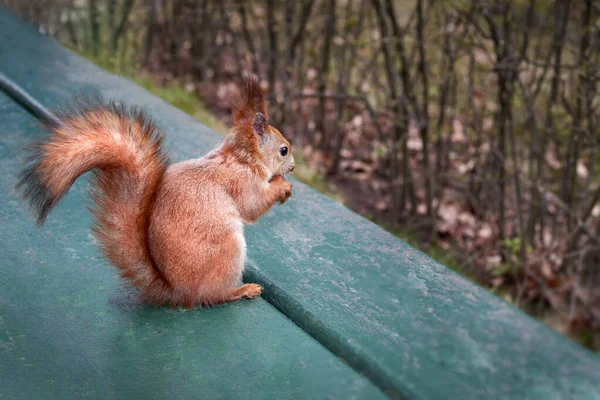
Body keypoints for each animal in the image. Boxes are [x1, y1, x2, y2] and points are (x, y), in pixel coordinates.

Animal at [19, 79, 296, 310]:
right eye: (283, 150)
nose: (293, 167)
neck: (240, 156)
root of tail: (178, 292)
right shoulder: (241, 181)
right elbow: (252, 206)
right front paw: (282, 187)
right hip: (227, 253)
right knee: (211, 296)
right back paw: (241, 290)